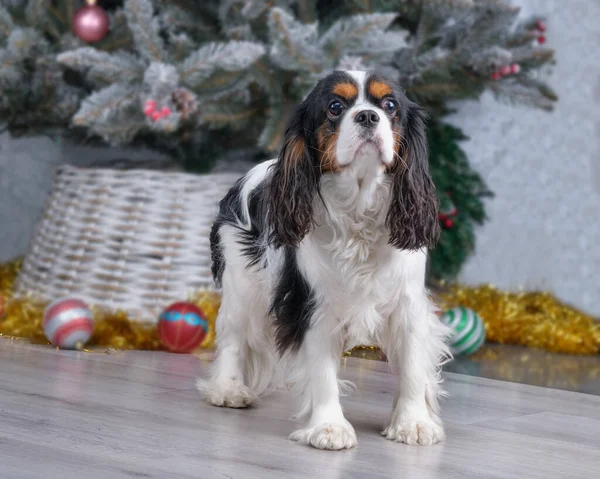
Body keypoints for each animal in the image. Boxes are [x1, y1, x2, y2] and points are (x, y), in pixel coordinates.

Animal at [197, 70, 450, 450]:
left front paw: (413, 423)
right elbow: (321, 370)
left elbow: (412, 365)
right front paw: (329, 427)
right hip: (241, 282)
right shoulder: (313, 305)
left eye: (390, 105)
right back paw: (228, 389)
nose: (368, 116)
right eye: (335, 107)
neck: (359, 206)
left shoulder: (409, 305)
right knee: (232, 336)